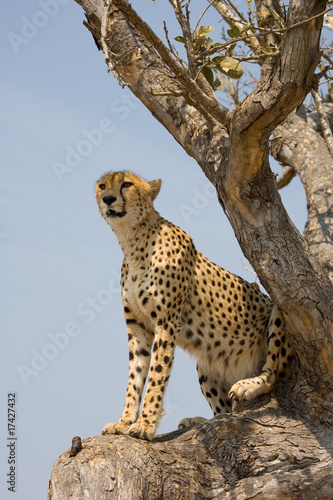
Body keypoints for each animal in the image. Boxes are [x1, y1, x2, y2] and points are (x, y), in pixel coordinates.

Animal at [95, 172, 290, 442]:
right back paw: (198, 420)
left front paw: (146, 424)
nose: (108, 199)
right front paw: (124, 421)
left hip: (278, 310)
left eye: (126, 184)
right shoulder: (138, 327)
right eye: (102, 186)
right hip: (206, 362)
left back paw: (248, 386)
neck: (132, 240)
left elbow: (156, 375)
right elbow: (135, 376)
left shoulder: (166, 323)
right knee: (223, 411)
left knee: (274, 371)